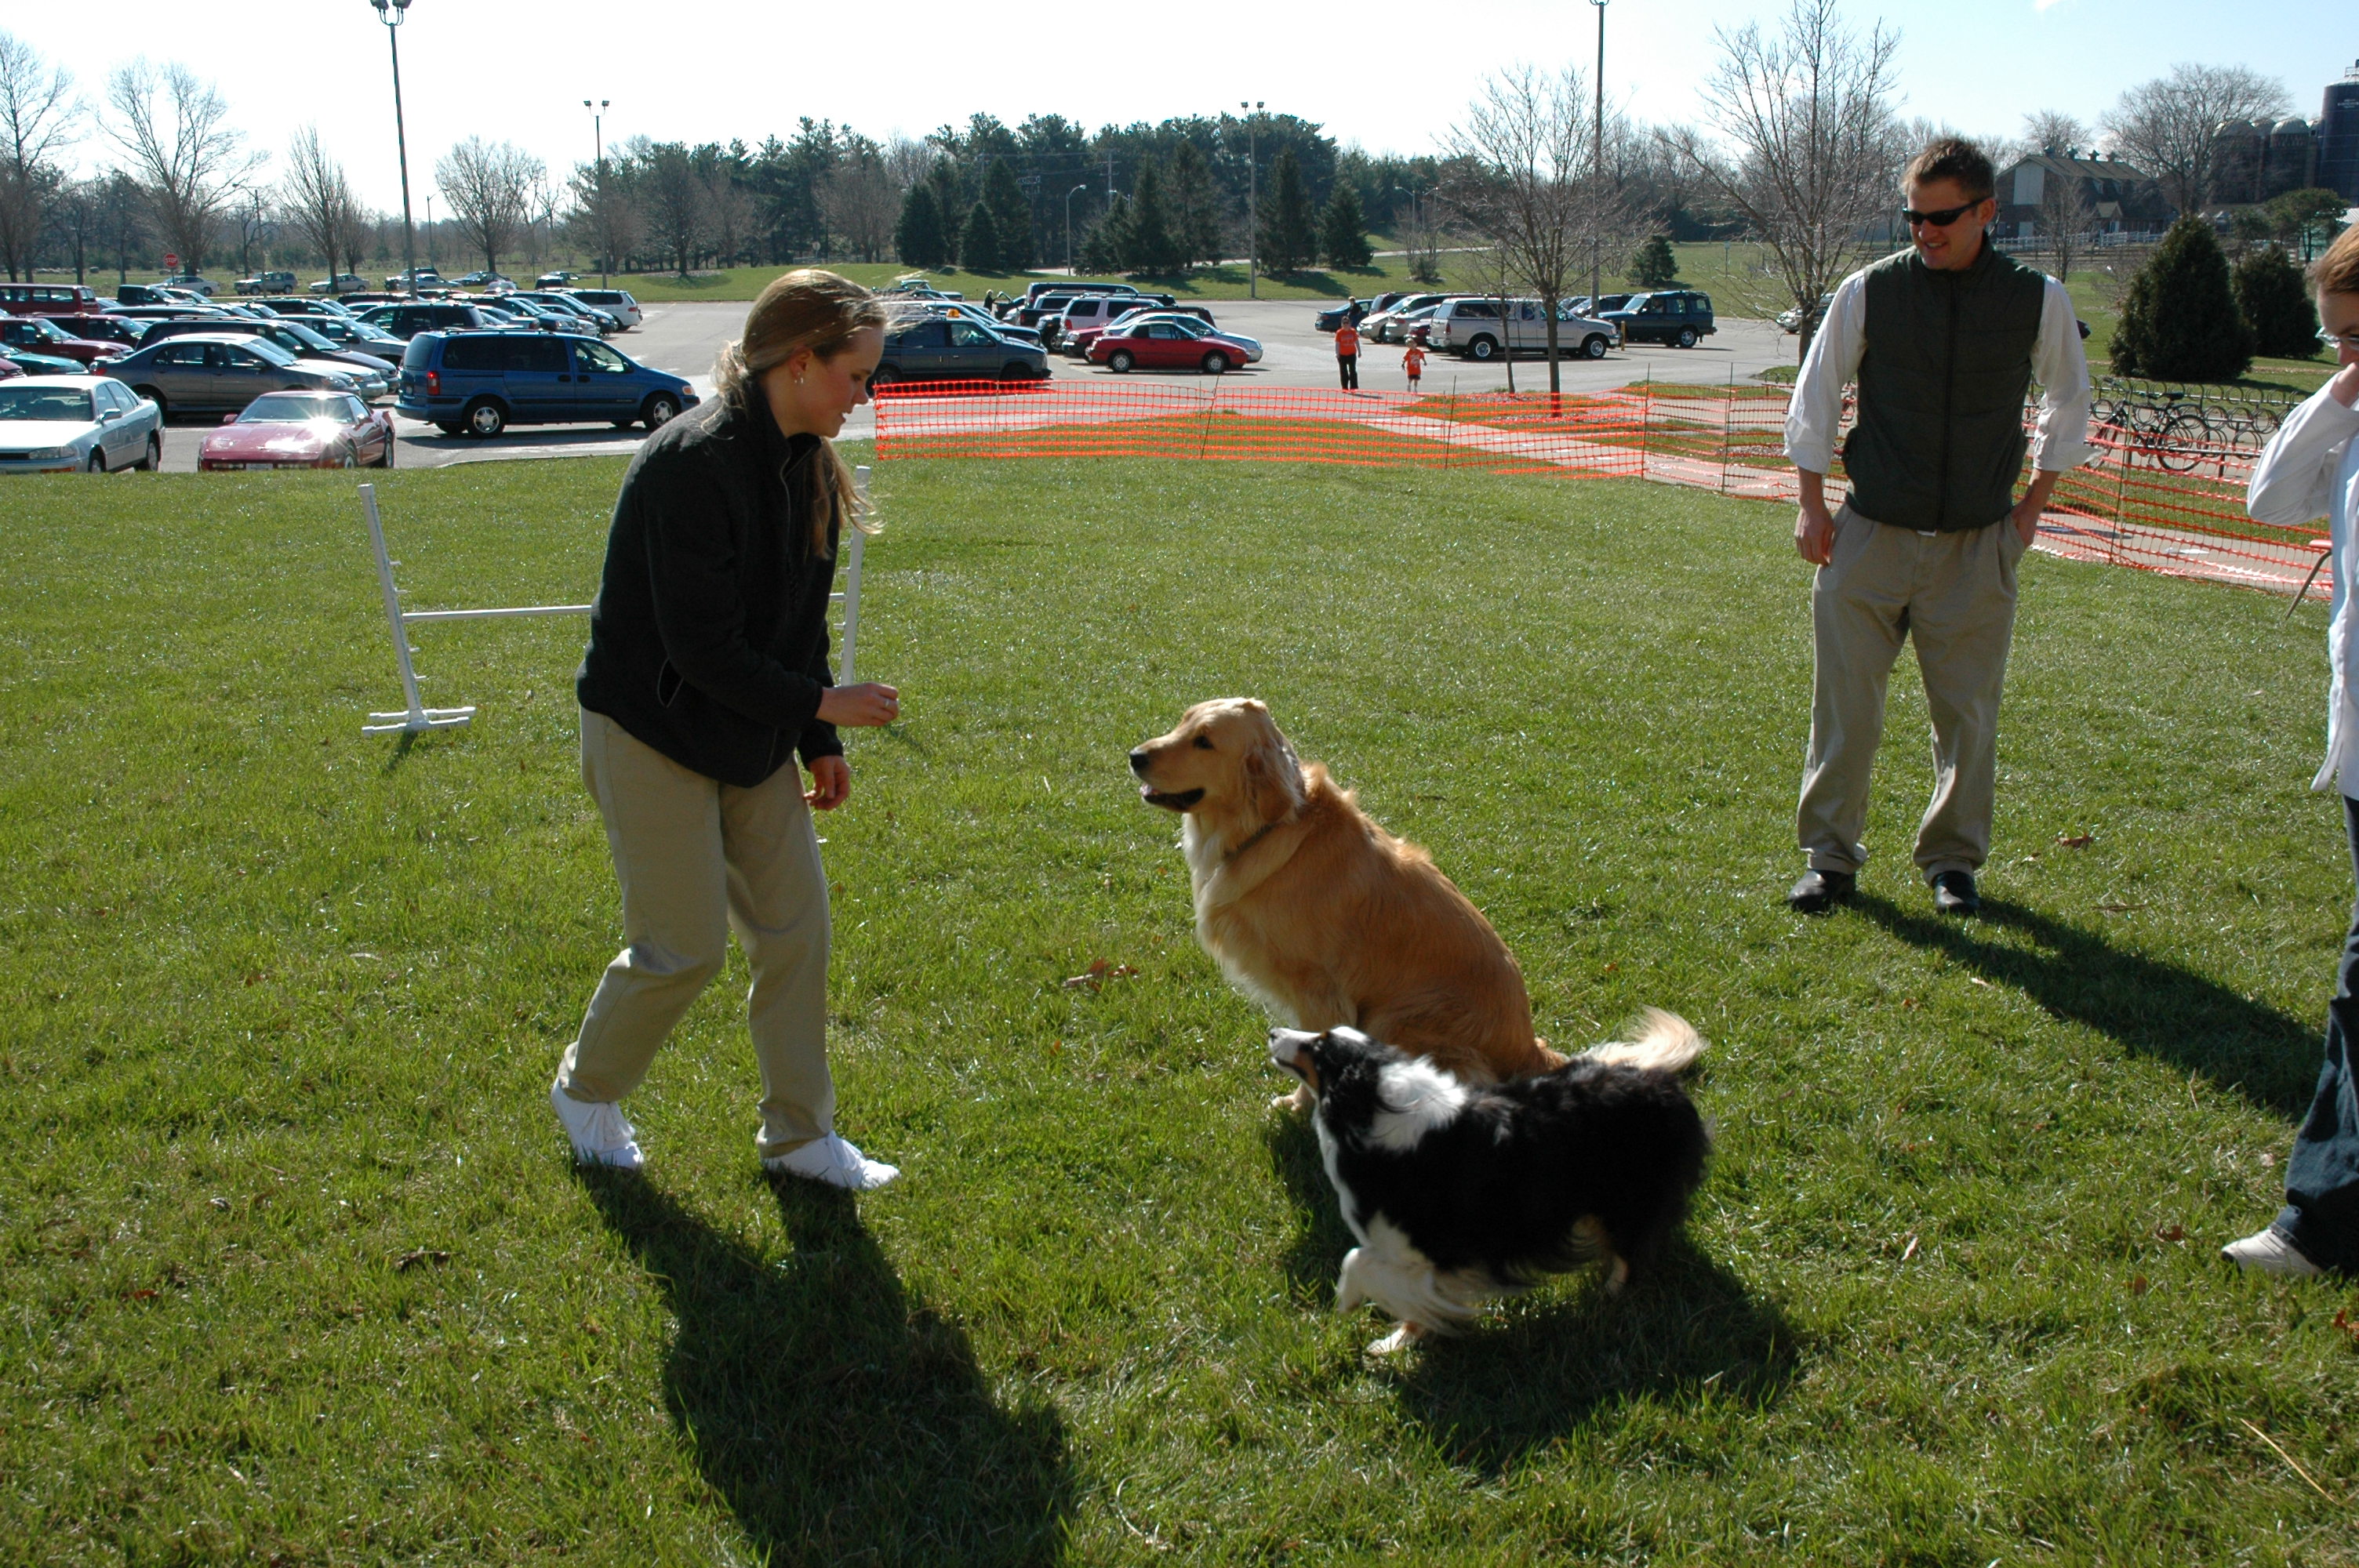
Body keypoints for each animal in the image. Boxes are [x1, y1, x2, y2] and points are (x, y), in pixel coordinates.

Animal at [1129, 698, 1561, 1104]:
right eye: (1182, 722)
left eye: (1204, 741)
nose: (1135, 756)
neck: (1264, 829)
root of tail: (1529, 1048)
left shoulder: (1318, 988)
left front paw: (1298, 1105)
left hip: (1397, 1019)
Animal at [1268, 1011, 1710, 1354]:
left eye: (1318, 1049)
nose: (1273, 1033)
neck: (1373, 1103)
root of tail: (1665, 1085)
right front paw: (1402, 1338)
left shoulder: (1429, 1247)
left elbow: (1359, 1261)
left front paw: (1361, 1316)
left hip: (1628, 1199)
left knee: (1629, 1256)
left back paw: (1607, 1299)